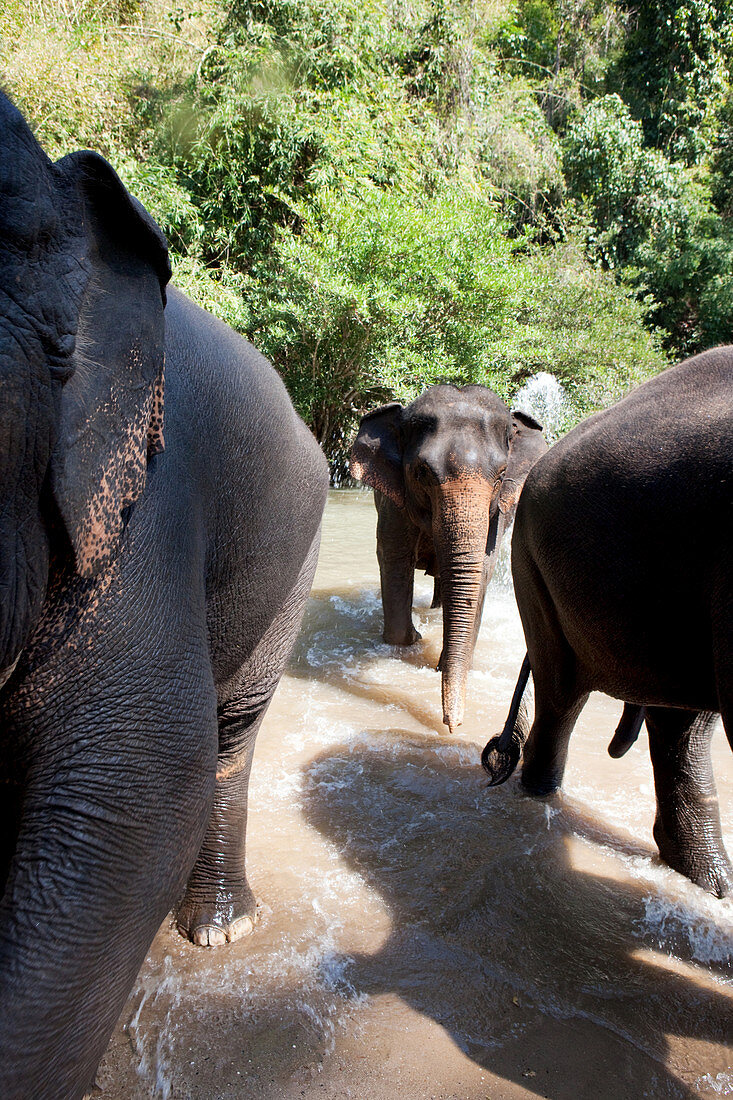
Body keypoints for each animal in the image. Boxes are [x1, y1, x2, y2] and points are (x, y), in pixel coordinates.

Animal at [347, 382, 541, 734]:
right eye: (422, 472)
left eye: (501, 475)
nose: (453, 727)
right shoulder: (394, 503)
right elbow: (394, 559)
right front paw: (410, 641)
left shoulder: (498, 513)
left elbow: (482, 571)